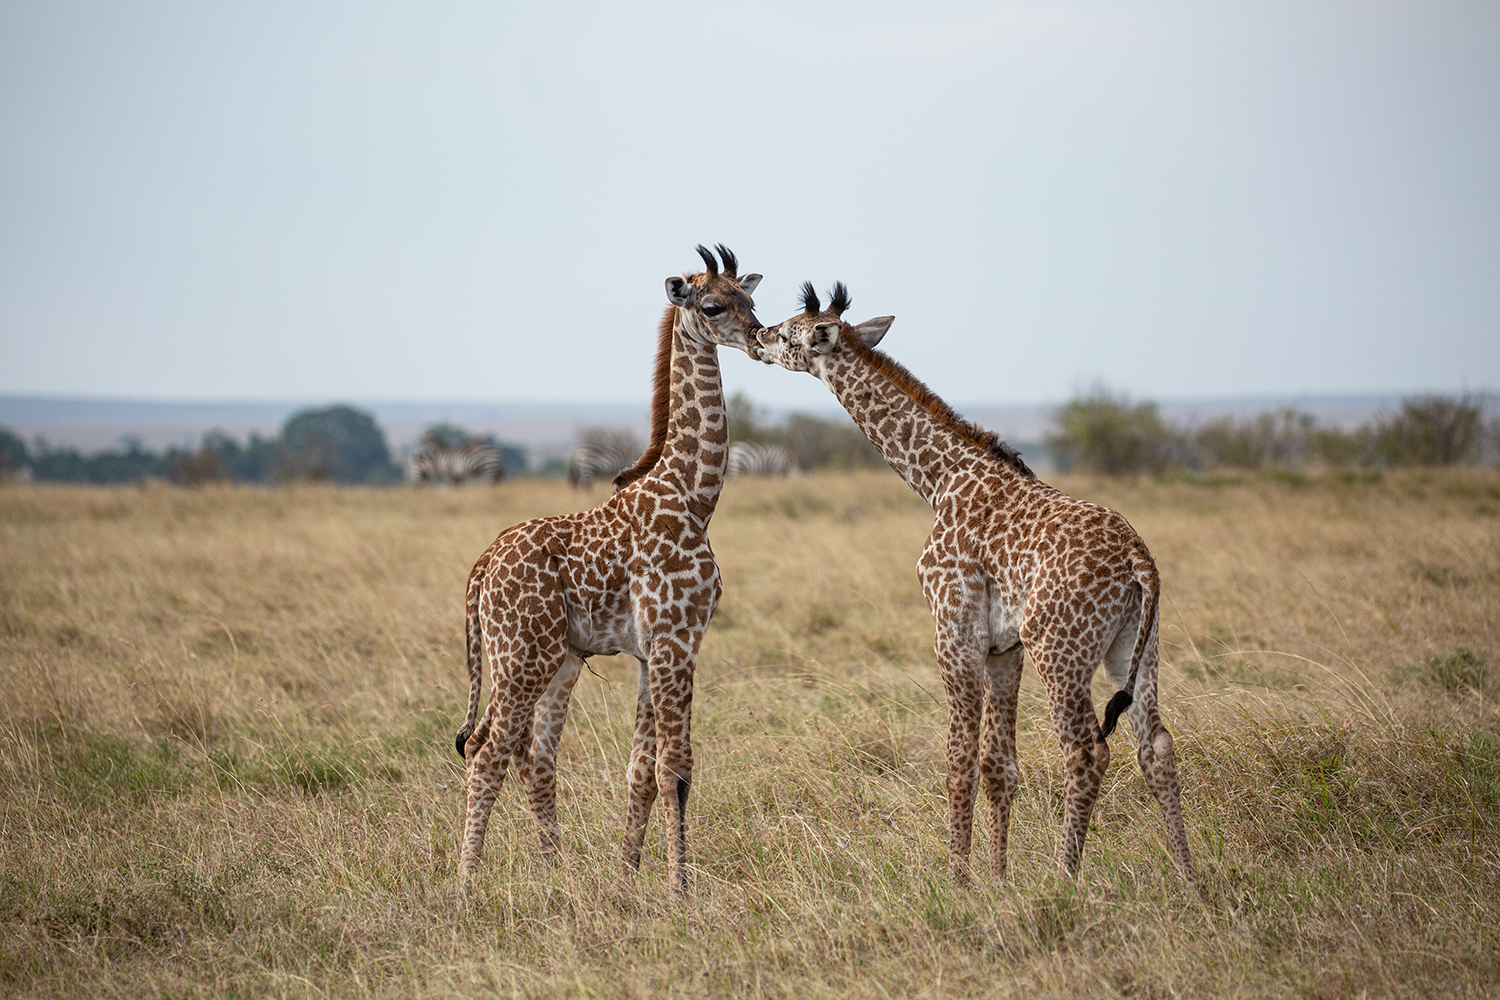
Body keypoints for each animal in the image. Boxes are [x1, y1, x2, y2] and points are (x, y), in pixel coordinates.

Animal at [453, 245, 762, 893]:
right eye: (714, 305)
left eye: (752, 300)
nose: (758, 336)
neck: (694, 496)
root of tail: (481, 566)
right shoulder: (676, 640)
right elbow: (677, 768)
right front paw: (679, 888)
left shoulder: (650, 652)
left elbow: (641, 771)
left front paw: (627, 879)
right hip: (522, 654)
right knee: (491, 749)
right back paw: (466, 885)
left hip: (556, 658)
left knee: (531, 754)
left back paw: (555, 873)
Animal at [750, 281, 1194, 881]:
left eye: (789, 332)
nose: (756, 335)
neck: (939, 480)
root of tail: (1137, 559)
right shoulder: (1005, 649)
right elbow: (999, 765)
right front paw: (998, 879)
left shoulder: (955, 633)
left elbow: (958, 762)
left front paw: (958, 881)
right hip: (1135, 648)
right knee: (1158, 746)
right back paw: (1189, 882)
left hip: (1062, 650)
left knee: (1087, 751)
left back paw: (1065, 880)